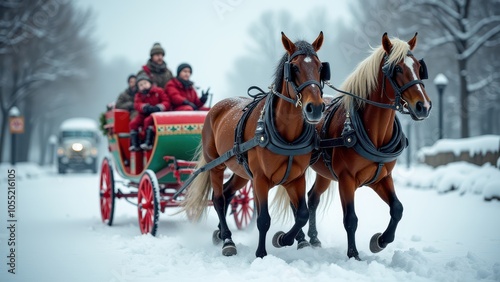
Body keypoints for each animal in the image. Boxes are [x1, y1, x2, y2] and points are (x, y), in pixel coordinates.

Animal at [184, 32, 328, 256]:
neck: (287, 136)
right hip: (216, 165)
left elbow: (302, 213)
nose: (316, 108)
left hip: (241, 172)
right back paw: (227, 240)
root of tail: (216, 108)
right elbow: (263, 219)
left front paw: (285, 239)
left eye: (320, 67)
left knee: (227, 192)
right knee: (218, 199)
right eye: (294, 68)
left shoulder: (296, 178)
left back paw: (220, 234)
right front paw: (261, 253)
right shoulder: (260, 179)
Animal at [278, 32, 430, 260]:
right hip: (299, 169)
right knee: (297, 202)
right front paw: (353, 254)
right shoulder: (346, 180)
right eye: (397, 69)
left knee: (312, 198)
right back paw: (301, 239)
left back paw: (313, 238)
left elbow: (397, 209)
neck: (373, 134)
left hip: (324, 173)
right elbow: (350, 219)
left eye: (419, 68)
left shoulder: (382, 177)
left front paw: (380, 241)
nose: (424, 106)